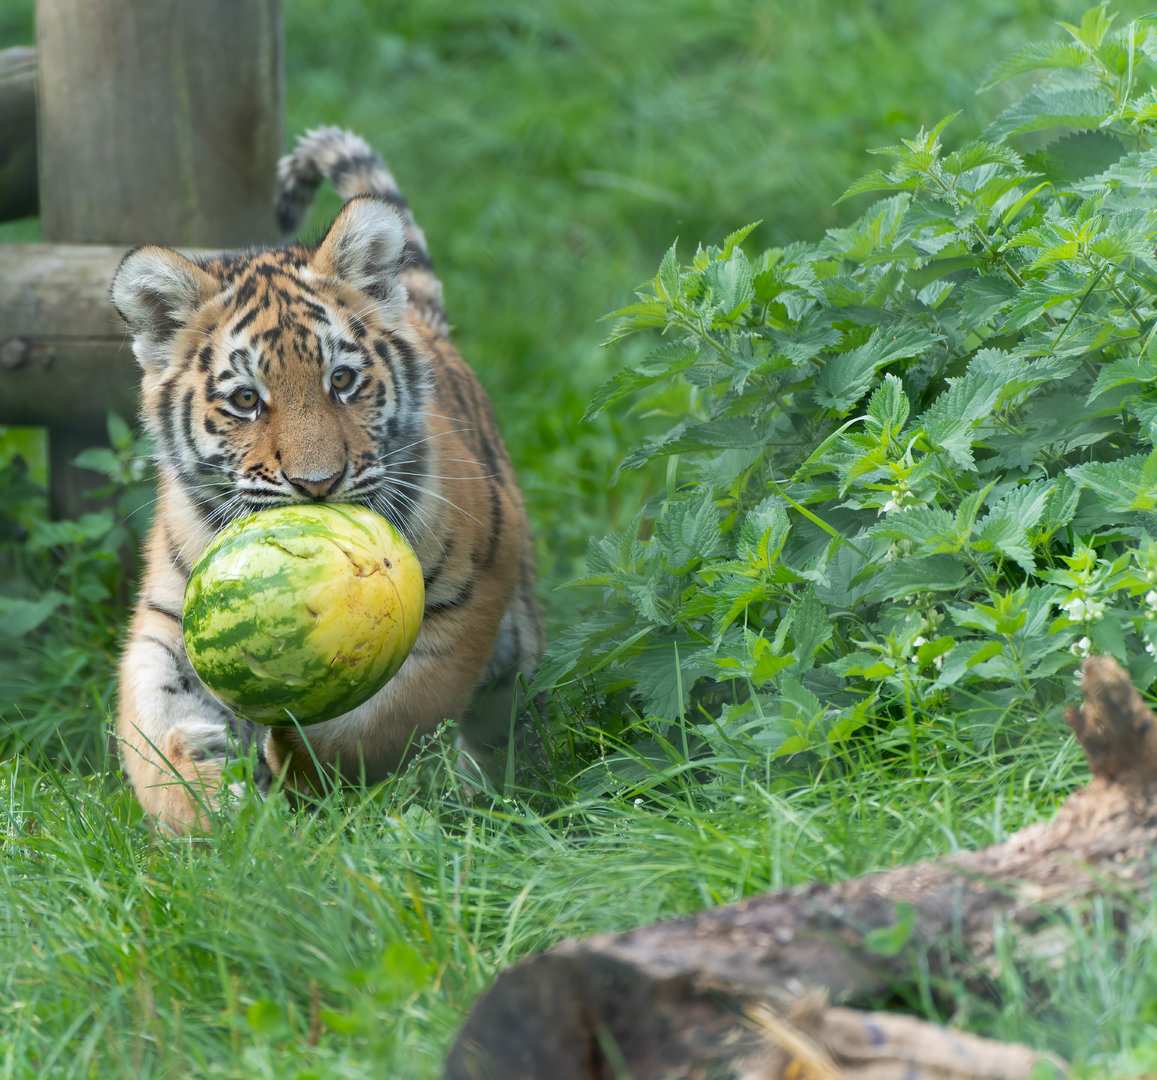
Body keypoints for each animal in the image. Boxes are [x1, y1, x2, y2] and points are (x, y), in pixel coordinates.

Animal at [111, 128, 545, 833]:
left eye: (341, 380)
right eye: (245, 400)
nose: (317, 485)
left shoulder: (470, 597)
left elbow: (394, 713)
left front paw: (294, 760)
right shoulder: (166, 621)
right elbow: (148, 729)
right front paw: (203, 806)